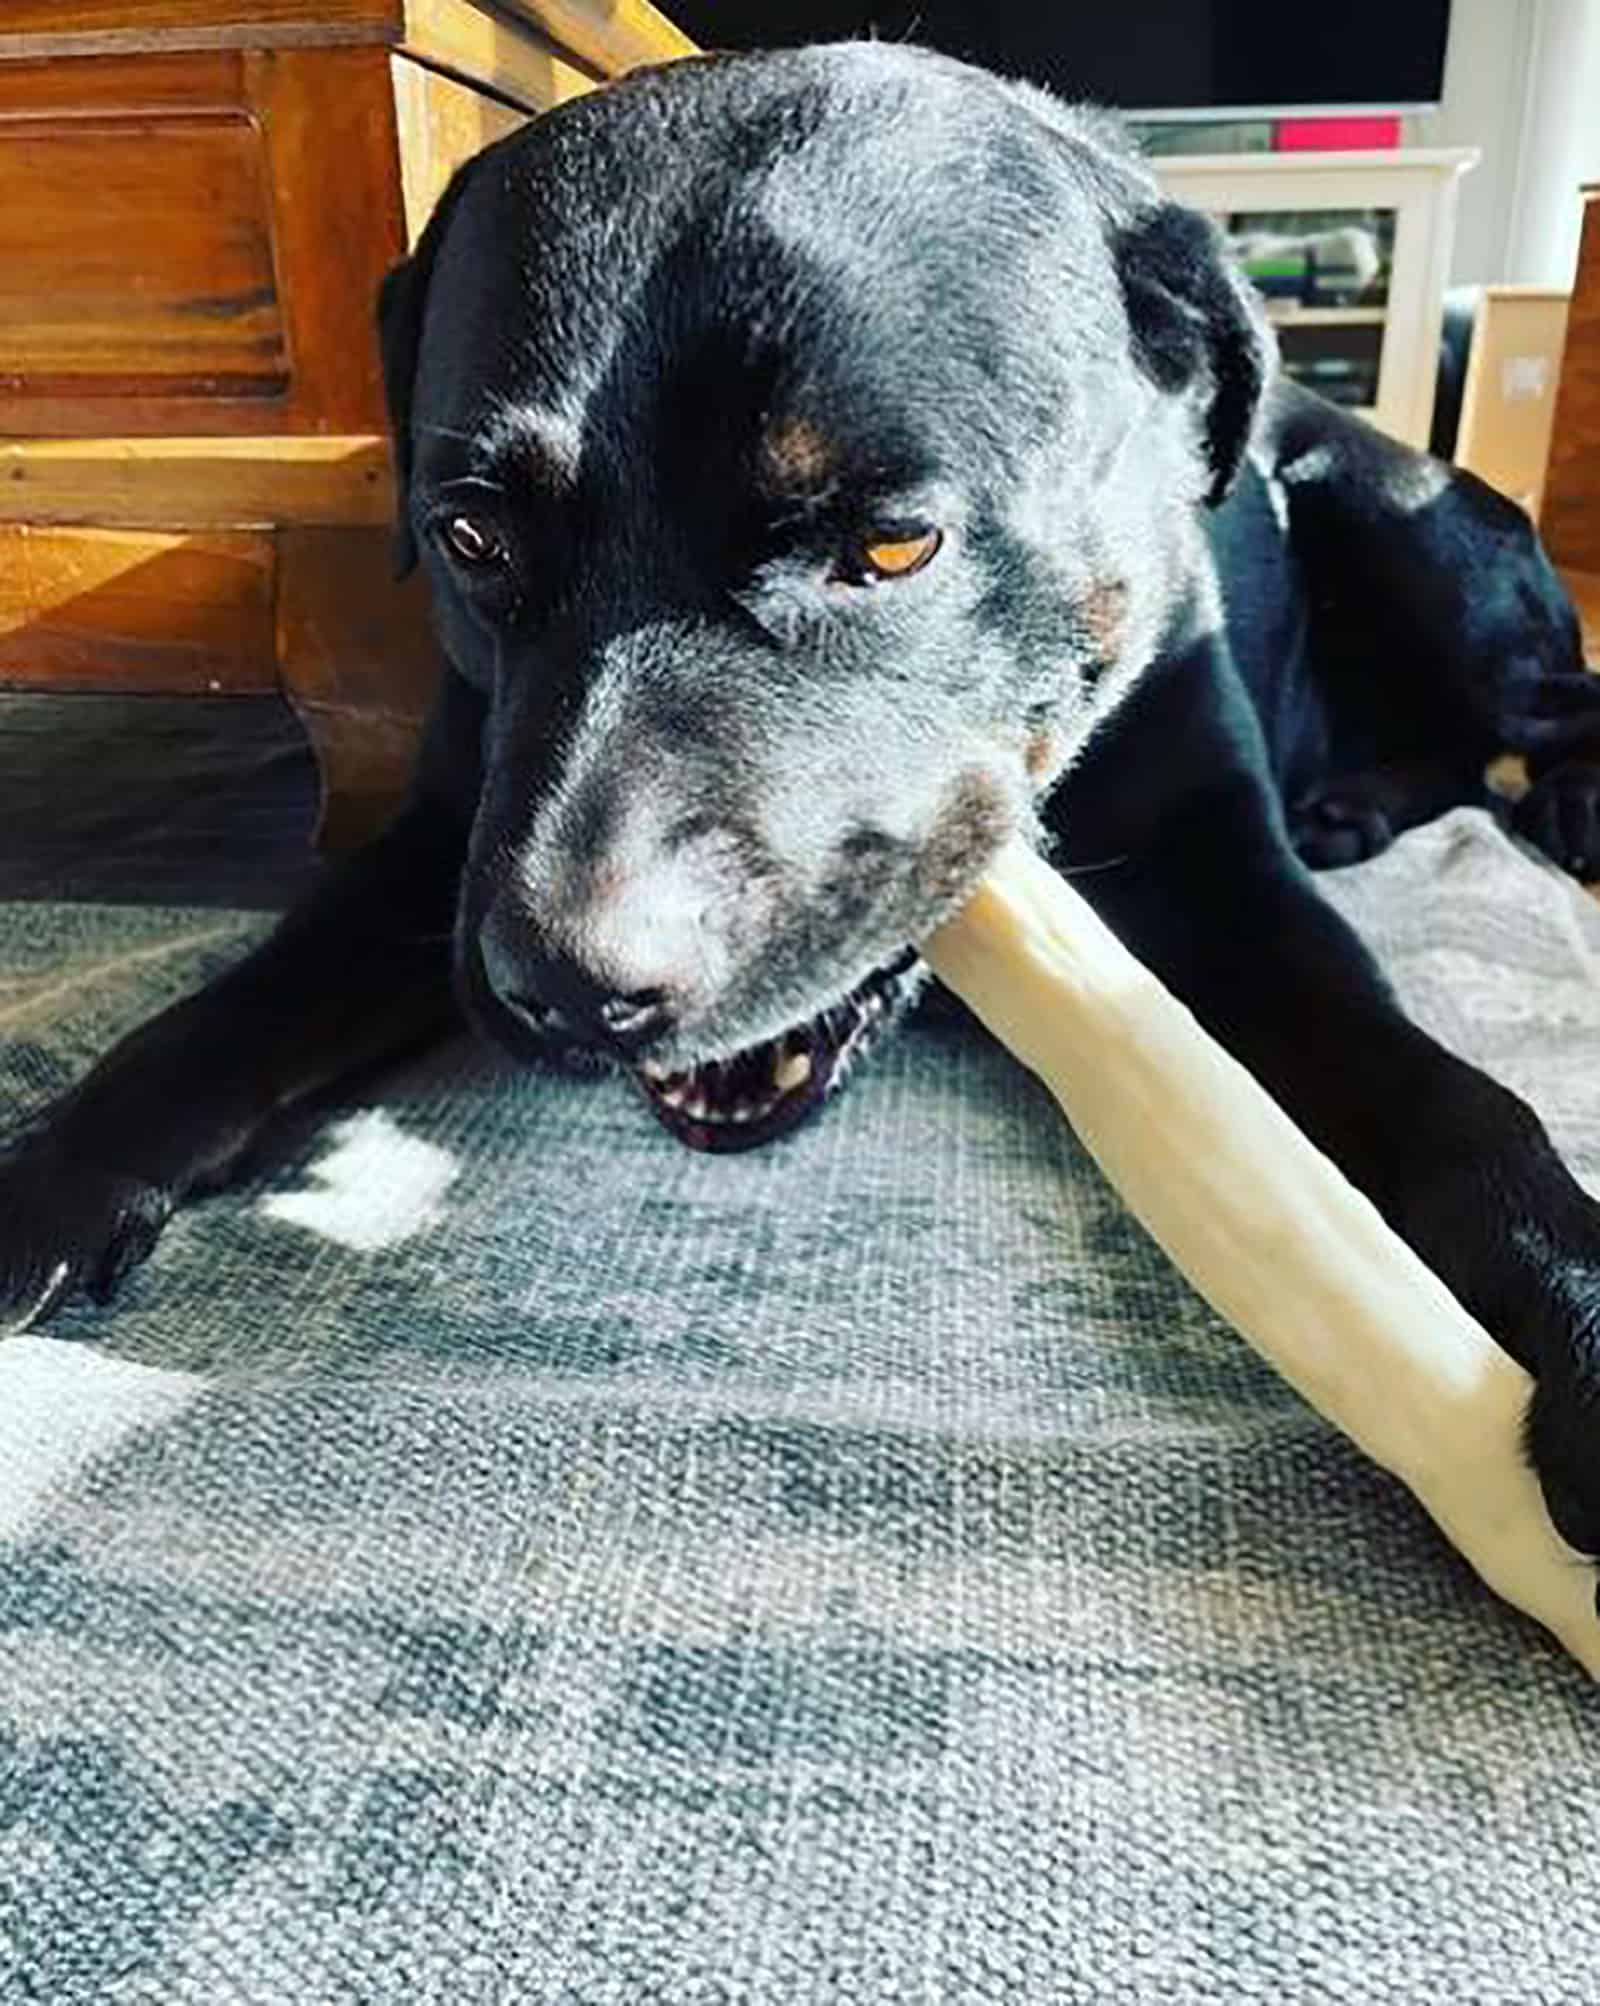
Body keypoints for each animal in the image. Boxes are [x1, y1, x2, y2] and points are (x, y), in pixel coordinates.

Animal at [9, 39, 1600, 1556]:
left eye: (894, 544)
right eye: (468, 537)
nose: (576, 988)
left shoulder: (1229, 870)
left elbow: (1446, 1091)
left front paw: (1575, 1290)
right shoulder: (449, 843)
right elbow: (243, 999)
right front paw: (53, 1170)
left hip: (1398, 518)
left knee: (1539, 708)